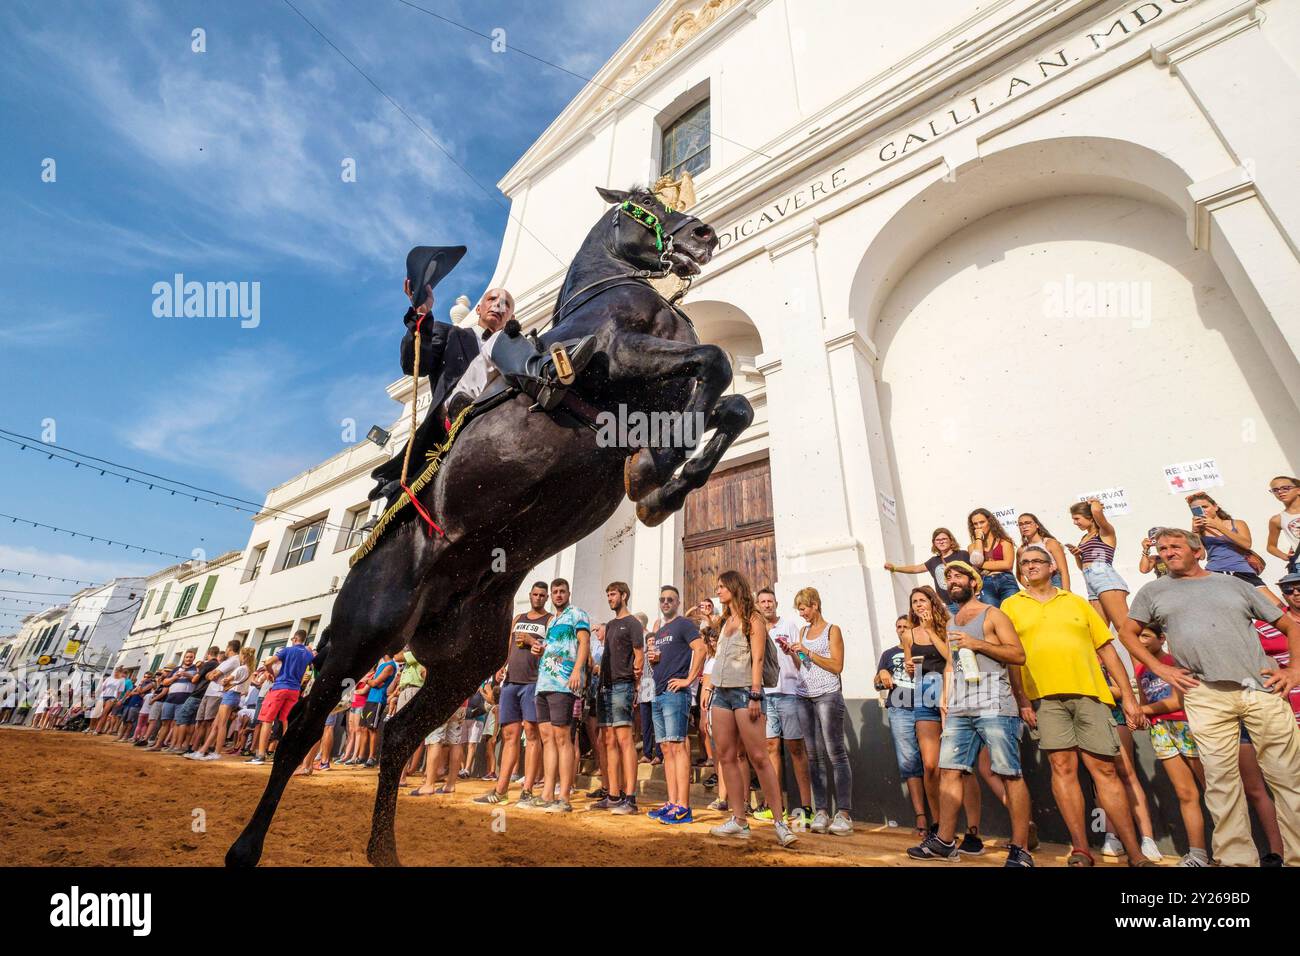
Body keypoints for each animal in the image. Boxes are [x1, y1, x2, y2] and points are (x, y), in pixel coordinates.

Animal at [223, 187, 754, 868]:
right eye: (640, 205)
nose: (703, 235)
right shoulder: (619, 361)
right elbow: (714, 361)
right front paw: (651, 474)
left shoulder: (669, 388)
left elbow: (732, 399)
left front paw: (662, 480)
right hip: (360, 638)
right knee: (302, 733)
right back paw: (246, 847)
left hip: (465, 664)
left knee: (398, 735)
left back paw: (384, 850)